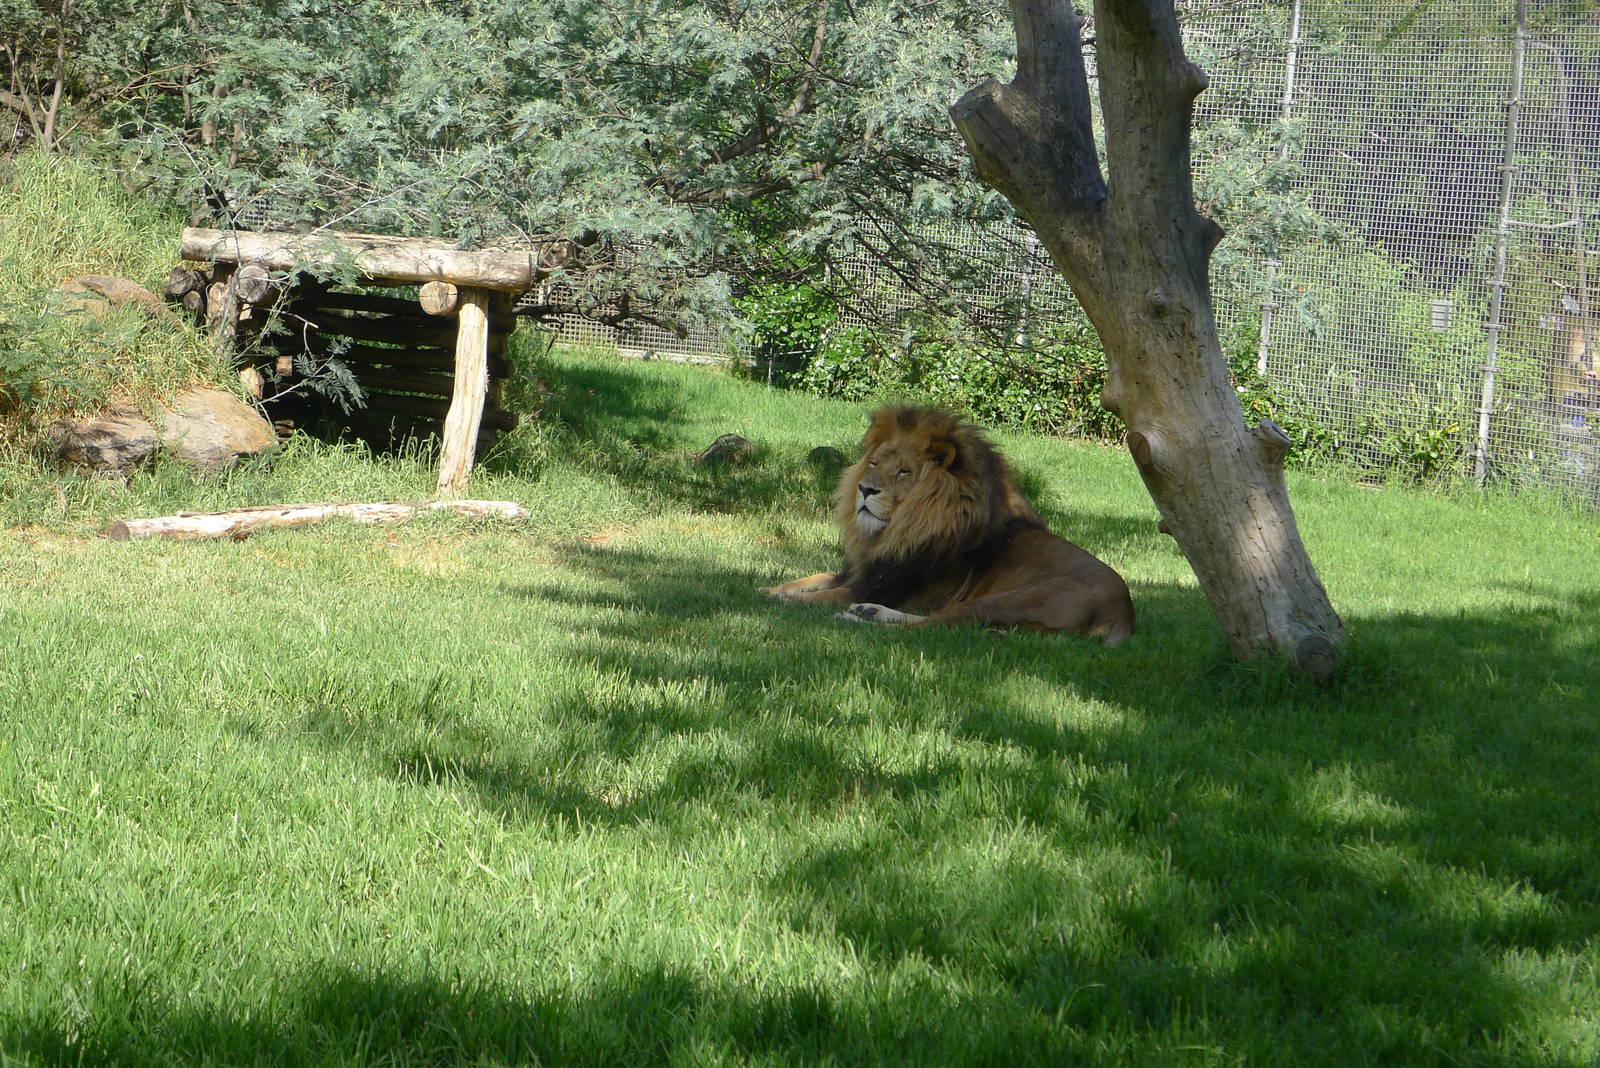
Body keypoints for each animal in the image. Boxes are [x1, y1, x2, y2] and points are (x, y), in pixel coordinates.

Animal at [763, 405, 1135, 645]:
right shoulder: (862, 572)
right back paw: (869, 612)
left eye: (904, 471)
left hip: (1003, 600)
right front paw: (768, 588)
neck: (895, 531)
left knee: (928, 627)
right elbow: (809, 578)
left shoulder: (878, 585)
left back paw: (859, 617)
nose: (864, 489)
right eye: (873, 463)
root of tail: (1123, 611)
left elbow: (821, 597)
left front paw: (775, 600)